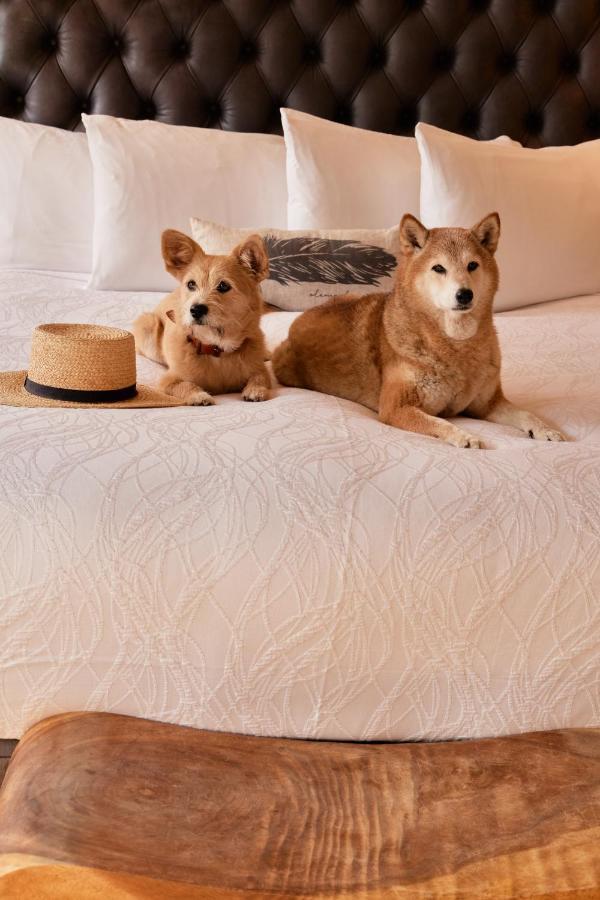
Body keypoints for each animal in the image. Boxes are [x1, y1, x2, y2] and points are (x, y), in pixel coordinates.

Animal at [134, 229, 272, 404]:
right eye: (191, 284)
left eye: (223, 285)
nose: (195, 310)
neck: (217, 348)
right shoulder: (167, 381)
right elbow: (184, 385)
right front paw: (198, 395)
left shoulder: (260, 370)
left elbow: (260, 377)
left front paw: (255, 390)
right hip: (148, 326)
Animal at [274, 212, 564, 450]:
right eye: (438, 268)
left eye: (472, 265)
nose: (464, 294)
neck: (456, 345)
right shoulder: (395, 407)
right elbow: (438, 422)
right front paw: (464, 435)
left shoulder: (486, 404)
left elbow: (526, 414)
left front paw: (546, 429)